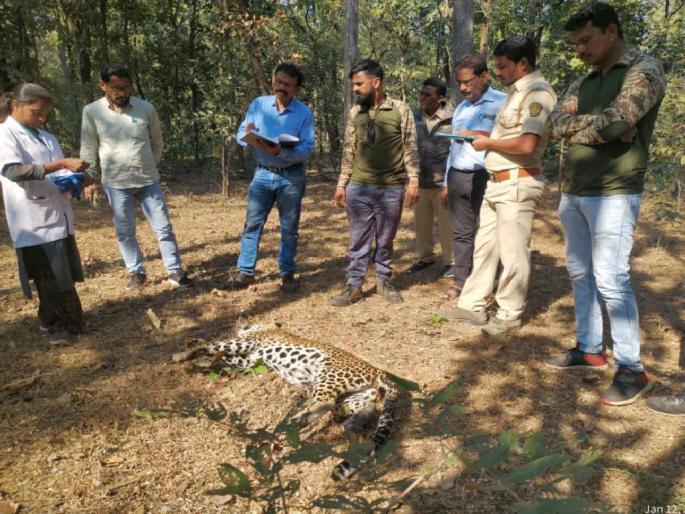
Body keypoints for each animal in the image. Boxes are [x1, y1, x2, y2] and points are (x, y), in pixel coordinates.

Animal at [197, 324, 402, 481]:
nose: (241, 325)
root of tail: (377, 371)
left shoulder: (248, 341)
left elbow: (217, 344)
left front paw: (194, 348)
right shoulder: (247, 360)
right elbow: (227, 356)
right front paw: (206, 359)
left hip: (327, 377)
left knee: (324, 403)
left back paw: (290, 424)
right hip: (351, 397)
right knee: (367, 408)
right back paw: (349, 424)